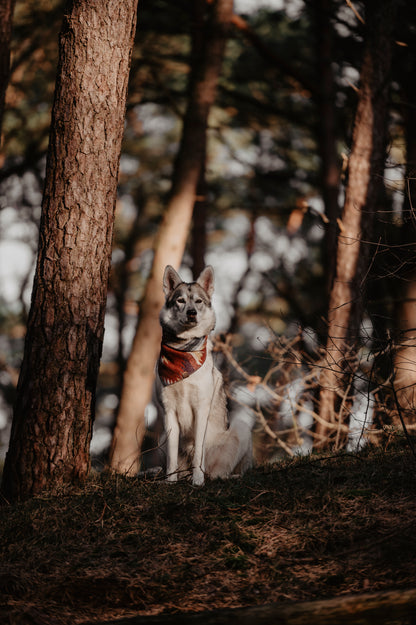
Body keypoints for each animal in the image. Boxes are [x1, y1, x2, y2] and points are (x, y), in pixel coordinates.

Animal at [156, 266, 254, 486]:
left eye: (198, 301)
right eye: (180, 301)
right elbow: (172, 457)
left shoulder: (201, 409)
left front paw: (197, 481)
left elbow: (198, 453)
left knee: (223, 472)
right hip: (161, 438)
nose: (191, 313)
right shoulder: (169, 412)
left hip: (241, 427)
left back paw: (217, 476)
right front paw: (170, 482)